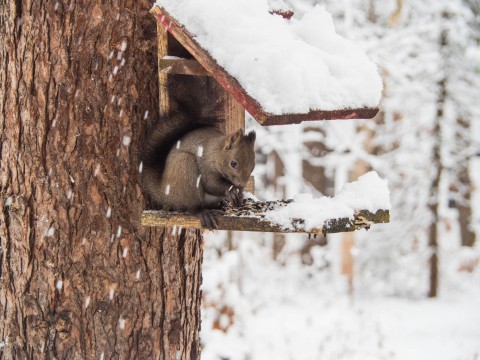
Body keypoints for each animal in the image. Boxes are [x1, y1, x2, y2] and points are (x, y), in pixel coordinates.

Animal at [142, 97, 256, 229]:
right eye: (233, 163)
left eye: (253, 166)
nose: (241, 184)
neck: (216, 154)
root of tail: (164, 192)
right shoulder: (206, 166)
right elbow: (211, 184)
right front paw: (232, 190)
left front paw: (239, 194)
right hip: (185, 168)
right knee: (193, 207)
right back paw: (204, 213)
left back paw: (221, 203)